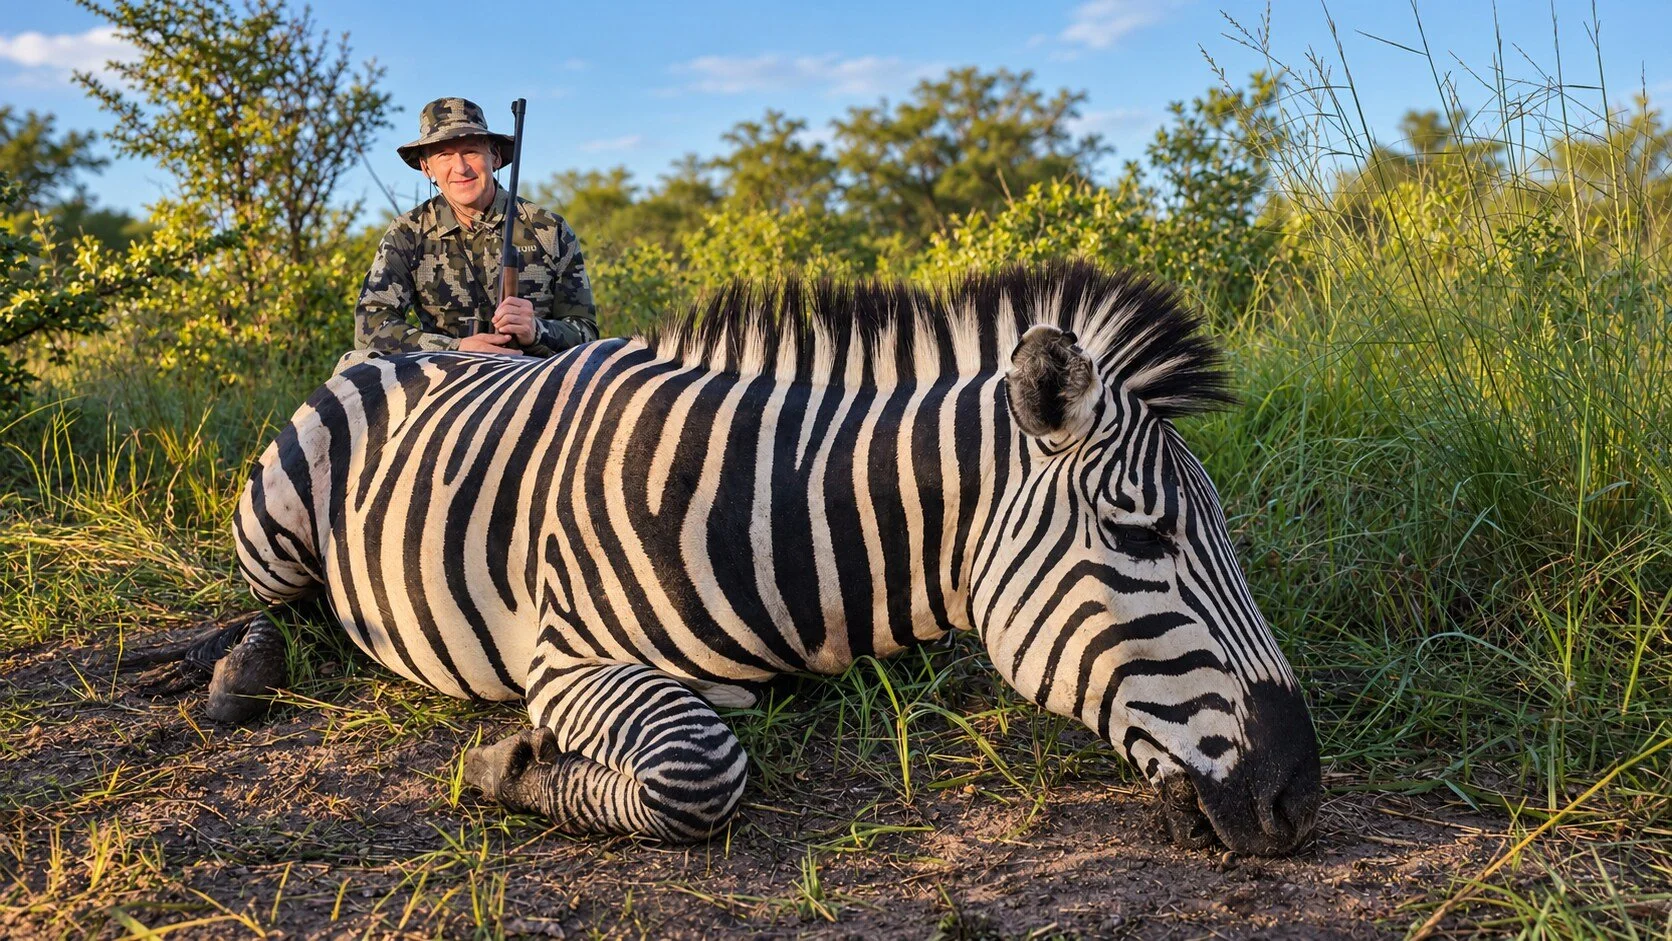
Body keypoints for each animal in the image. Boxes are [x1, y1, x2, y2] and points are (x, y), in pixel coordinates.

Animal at [220, 262, 1321, 855]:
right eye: (1142, 537)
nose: (1298, 797)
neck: (769, 509)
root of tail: (405, 352)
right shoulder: (564, 660)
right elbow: (699, 772)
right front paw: (506, 762)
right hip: (270, 524)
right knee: (271, 605)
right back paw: (228, 672)